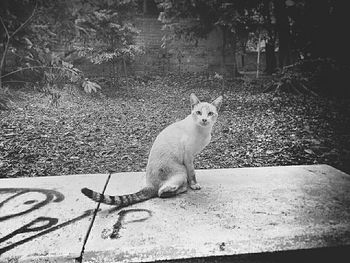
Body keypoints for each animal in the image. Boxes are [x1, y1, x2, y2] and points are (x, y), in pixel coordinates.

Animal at [81, 94, 221, 209]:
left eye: (210, 113)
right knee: (161, 192)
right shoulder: (188, 156)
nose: (204, 120)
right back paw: (179, 188)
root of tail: (149, 185)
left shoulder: (191, 157)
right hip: (180, 171)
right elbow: (192, 173)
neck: (203, 131)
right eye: (198, 112)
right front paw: (194, 185)